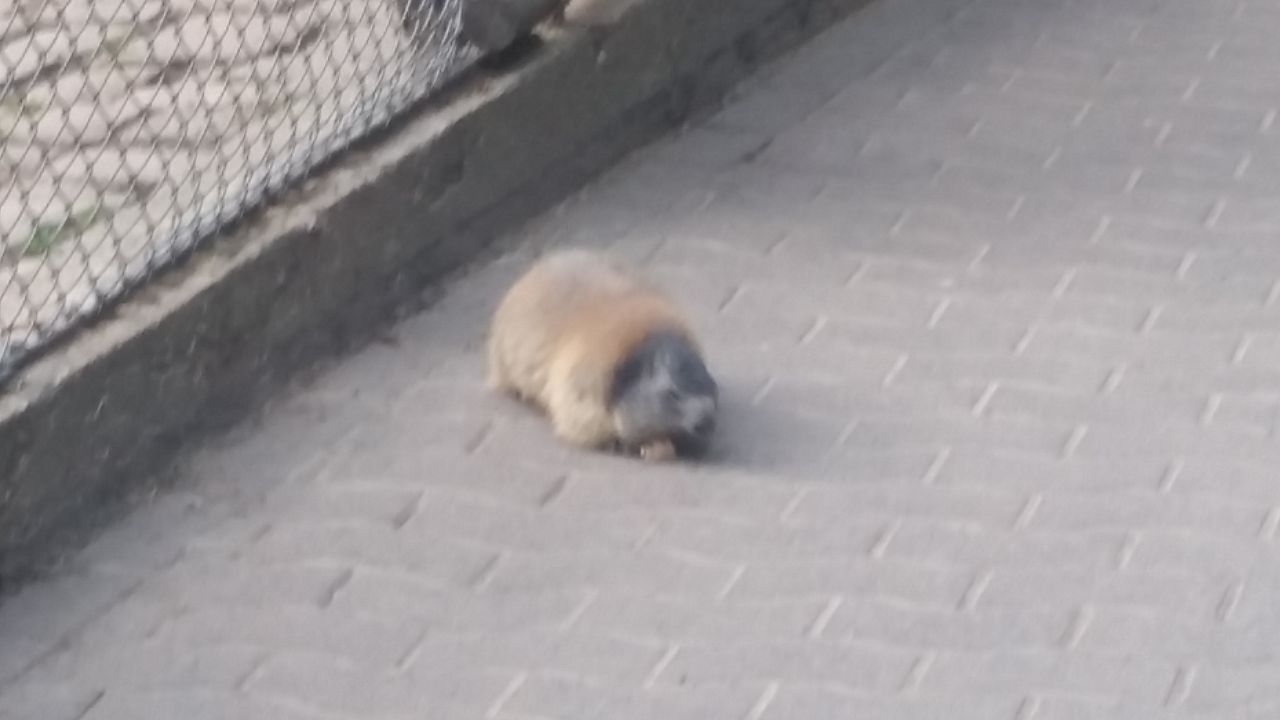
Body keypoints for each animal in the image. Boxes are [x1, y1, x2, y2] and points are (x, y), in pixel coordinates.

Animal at [487, 249, 718, 461]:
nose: (706, 421)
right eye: (673, 394)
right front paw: (621, 444)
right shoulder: (582, 392)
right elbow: (580, 423)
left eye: (713, 389)